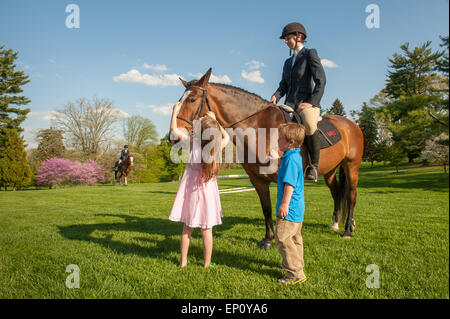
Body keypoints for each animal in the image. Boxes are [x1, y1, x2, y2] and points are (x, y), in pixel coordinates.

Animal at [174, 67, 364, 248]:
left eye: (192, 100)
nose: (175, 136)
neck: (260, 128)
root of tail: (351, 124)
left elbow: (282, 207)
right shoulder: (258, 179)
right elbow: (266, 208)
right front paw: (267, 240)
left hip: (352, 166)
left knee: (351, 196)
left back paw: (348, 230)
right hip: (330, 171)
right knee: (336, 192)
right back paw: (335, 224)